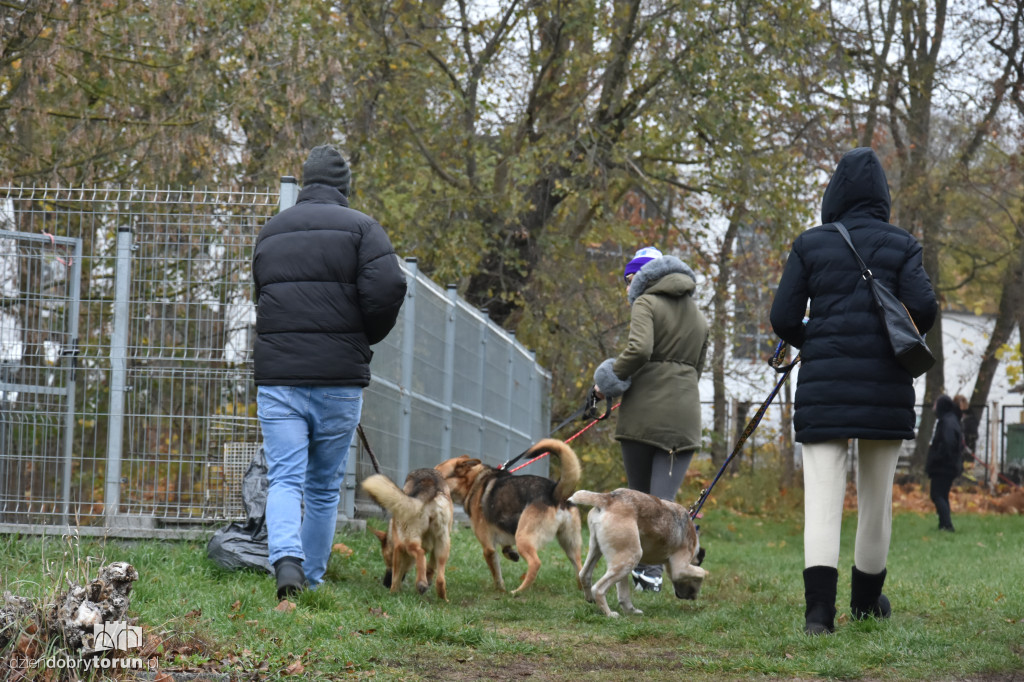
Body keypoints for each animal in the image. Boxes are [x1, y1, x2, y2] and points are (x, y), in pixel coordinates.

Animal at [362, 464, 454, 598]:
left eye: (387, 560)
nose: (385, 583)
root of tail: (431, 487)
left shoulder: (398, 548)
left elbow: (396, 575)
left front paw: (393, 592)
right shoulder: (434, 547)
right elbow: (431, 567)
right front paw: (428, 578)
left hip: (410, 541)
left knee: (420, 553)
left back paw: (421, 584)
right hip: (443, 544)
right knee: (440, 579)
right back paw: (442, 597)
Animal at [434, 438, 585, 593]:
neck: (475, 482)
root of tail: (555, 492)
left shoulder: (488, 548)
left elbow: (496, 573)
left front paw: (500, 590)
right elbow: (505, 548)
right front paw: (511, 554)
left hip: (523, 539)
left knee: (535, 563)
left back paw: (518, 591)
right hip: (570, 545)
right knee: (580, 568)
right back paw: (582, 591)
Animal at [569, 485, 704, 614]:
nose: (692, 597)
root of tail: (609, 498)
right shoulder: (680, 568)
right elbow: (702, 572)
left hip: (604, 552)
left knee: (584, 575)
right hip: (631, 558)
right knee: (598, 589)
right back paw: (609, 614)